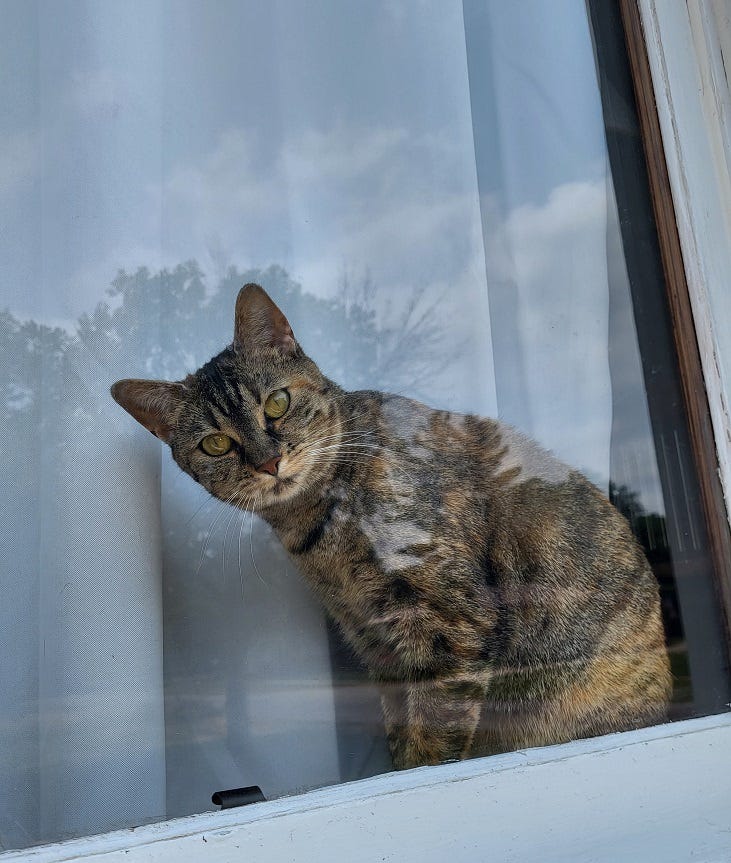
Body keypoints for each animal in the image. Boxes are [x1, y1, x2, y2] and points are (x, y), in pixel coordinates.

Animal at [111, 284, 672, 768]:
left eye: (277, 402)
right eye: (216, 444)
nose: (269, 462)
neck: (318, 526)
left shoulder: (451, 624)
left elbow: (435, 735)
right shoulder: (376, 638)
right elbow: (402, 728)